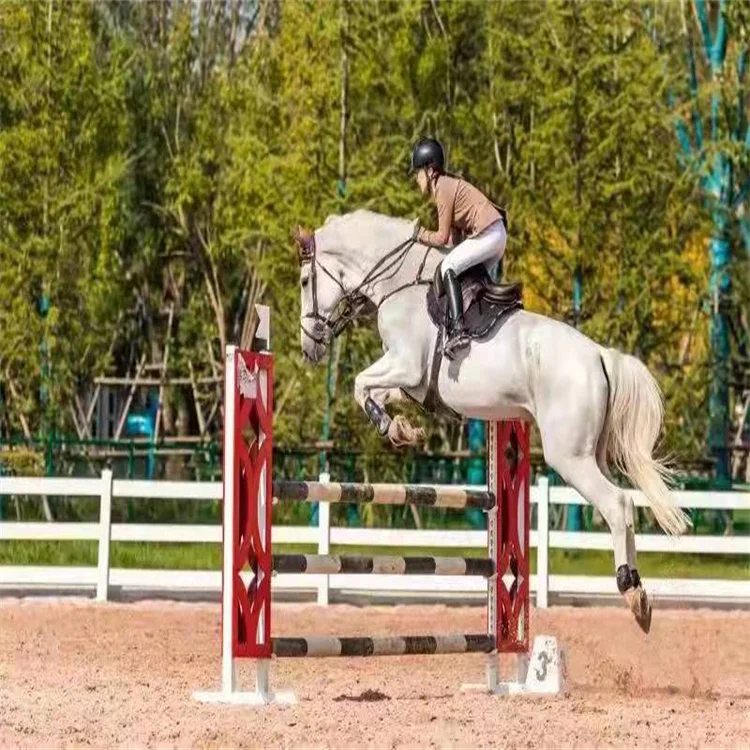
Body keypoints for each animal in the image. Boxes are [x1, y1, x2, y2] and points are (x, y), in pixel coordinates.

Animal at [293, 209, 690, 632]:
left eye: (304, 281)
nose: (309, 347)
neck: (398, 283)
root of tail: (600, 355)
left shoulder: (405, 364)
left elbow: (358, 384)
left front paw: (391, 427)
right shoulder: (412, 382)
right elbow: (375, 392)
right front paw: (403, 430)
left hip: (570, 458)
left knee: (617, 504)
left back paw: (632, 591)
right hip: (591, 453)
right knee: (625, 503)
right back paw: (640, 593)